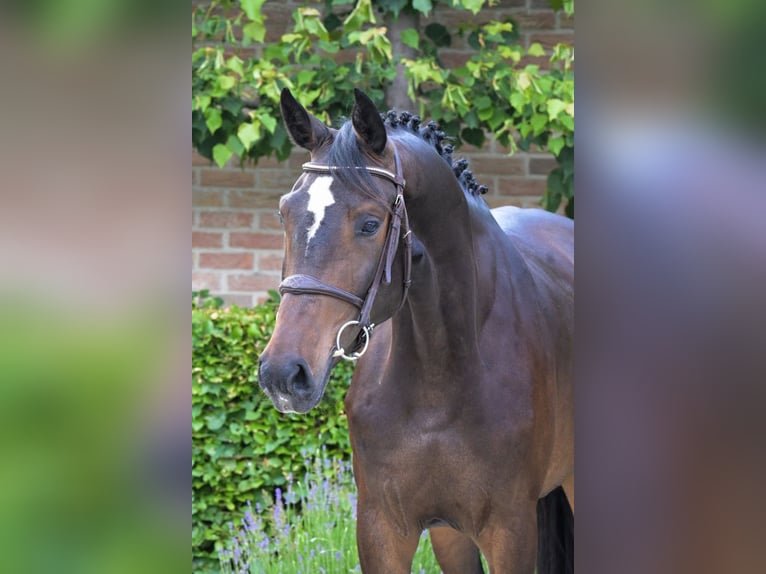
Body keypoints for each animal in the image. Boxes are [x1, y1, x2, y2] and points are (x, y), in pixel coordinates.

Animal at [260, 88, 576, 572]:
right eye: (284, 214)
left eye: (370, 223)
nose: (283, 373)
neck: (439, 374)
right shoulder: (384, 528)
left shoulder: (511, 531)